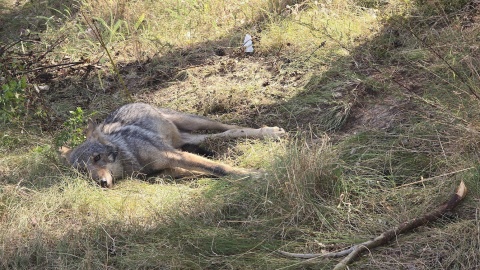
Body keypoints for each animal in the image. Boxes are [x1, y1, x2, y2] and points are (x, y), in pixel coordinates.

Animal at [60, 102, 284, 189]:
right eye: (82, 172)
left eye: (97, 158)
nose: (101, 183)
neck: (129, 157)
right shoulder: (168, 167)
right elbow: (204, 171)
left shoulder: (174, 155)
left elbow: (219, 167)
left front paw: (257, 174)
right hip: (190, 139)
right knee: (222, 134)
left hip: (194, 122)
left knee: (232, 127)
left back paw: (270, 132)